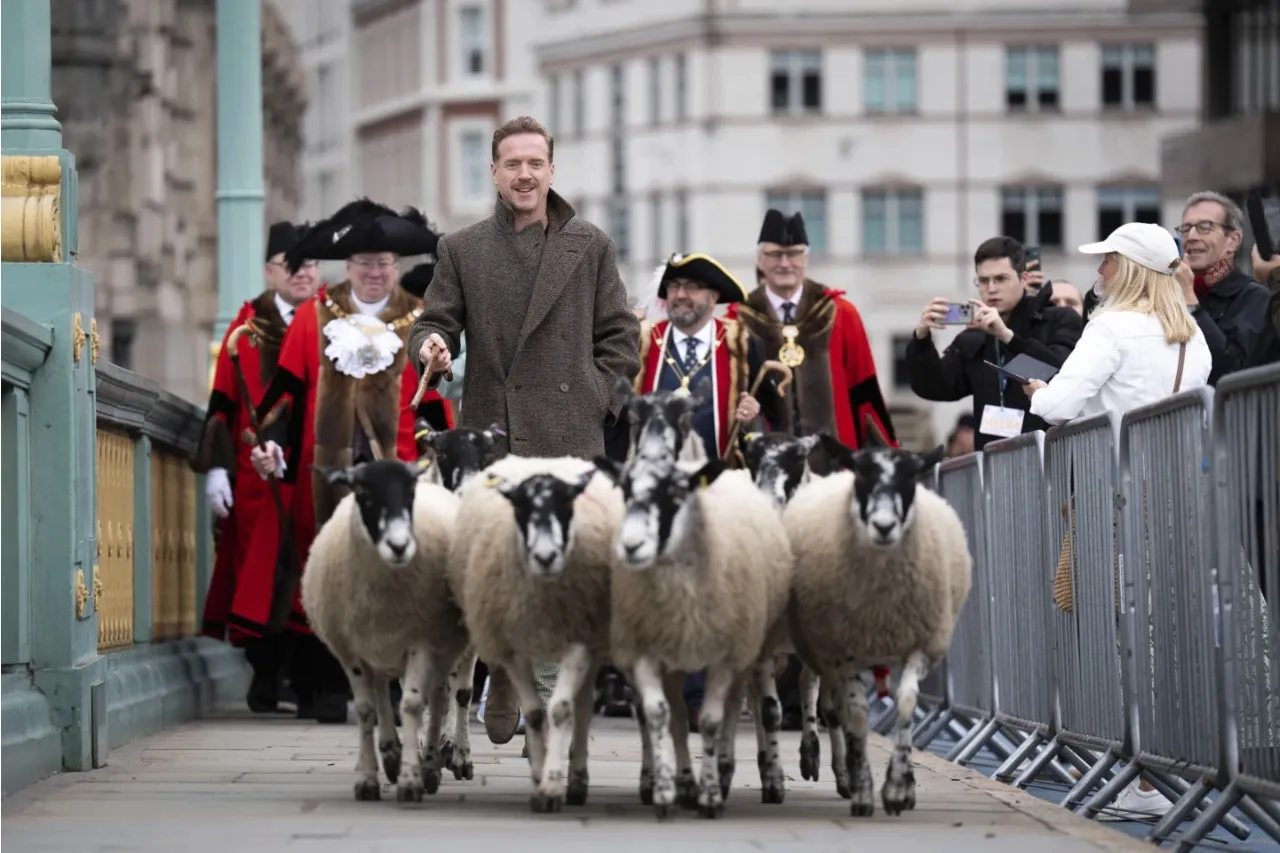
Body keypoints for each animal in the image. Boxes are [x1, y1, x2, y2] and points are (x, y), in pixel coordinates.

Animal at [299, 458, 471, 799]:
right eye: (362, 492)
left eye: (409, 492)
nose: (398, 545)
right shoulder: (354, 650)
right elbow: (368, 709)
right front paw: (370, 777)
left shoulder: (422, 641)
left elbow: (415, 703)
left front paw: (413, 778)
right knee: (396, 694)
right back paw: (398, 755)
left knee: (451, 696)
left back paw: (447, 758)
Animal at [450, 450, 624, 809]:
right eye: (521, 507)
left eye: (567, 504)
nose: (545, 556)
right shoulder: (510, 645)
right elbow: (531, 713)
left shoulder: (577, 642)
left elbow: (559, 709)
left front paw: (552, 782)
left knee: (581, 706)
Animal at [596, 450, 793, 819]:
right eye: (625, 491)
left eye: (676, 494)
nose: (631, 545)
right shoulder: (645, 653)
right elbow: (659, 715)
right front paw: (666, 790)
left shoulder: (727, 657)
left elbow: (714, 720)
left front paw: (712, 794)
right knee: (675, 716)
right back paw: (682, 783)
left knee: (735, 707)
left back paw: (727, 774)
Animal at [778, 432, 967, 819]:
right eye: (862, 474)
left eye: (911, 478)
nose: (883, 526)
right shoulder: (843, 651)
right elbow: (856, 715)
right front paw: (863, 789)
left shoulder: (920, 646)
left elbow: (906, 704)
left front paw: (898, 789)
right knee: (814, 691)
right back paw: (818, 758)